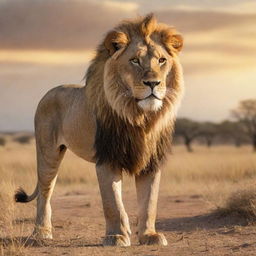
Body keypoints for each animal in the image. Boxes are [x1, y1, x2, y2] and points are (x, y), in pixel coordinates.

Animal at [14, 14, 184, 246]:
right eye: (134, 60)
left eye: (161, 60)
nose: (153, 83)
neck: (139, 117)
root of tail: (49, 91)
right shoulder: (107, 159)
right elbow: (113, 203)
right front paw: (116, 236)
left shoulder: (151, 162)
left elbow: (149, 203)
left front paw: (149, 236)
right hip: (47, 153)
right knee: (44, 192)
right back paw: (41, 232)